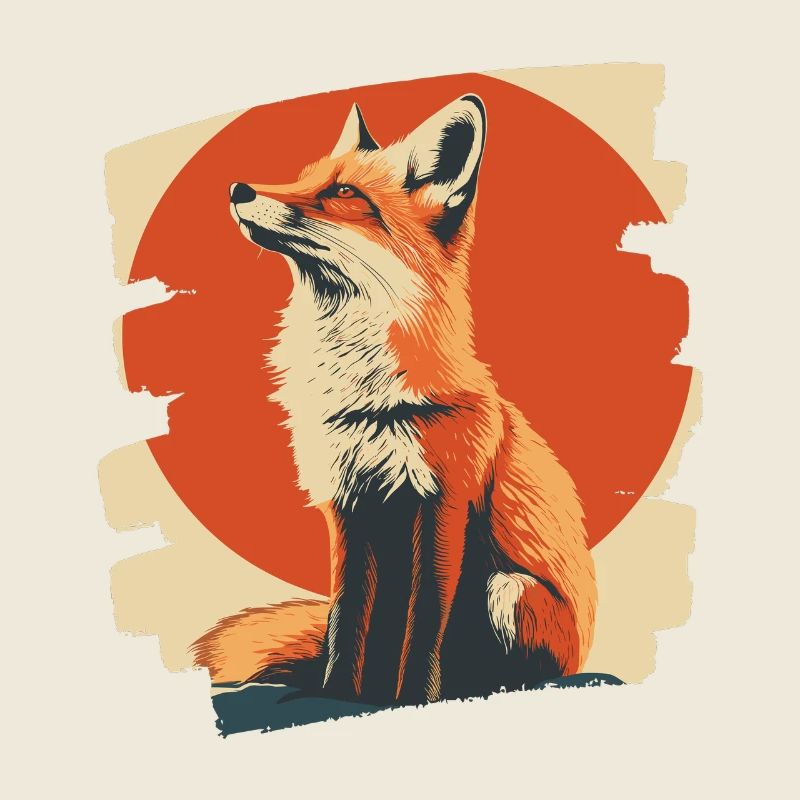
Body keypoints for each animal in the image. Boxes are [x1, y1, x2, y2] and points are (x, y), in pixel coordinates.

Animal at [191, 94, 597, 706]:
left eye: (342, 192)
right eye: (304, 176)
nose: (238, 188)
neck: (367, 405)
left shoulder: (444, 503)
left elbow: (426, 621)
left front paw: (412, 700)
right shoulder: (348, 510)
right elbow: (346, 620)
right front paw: (339, 697)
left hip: (508, 589)